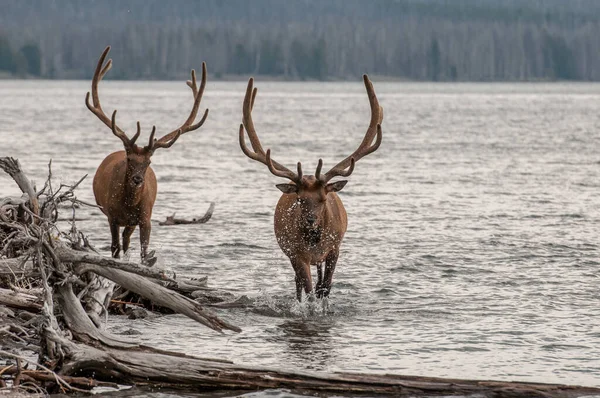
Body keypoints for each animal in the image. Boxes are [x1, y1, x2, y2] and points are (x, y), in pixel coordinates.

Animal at [85, 46, 210, 262]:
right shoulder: (112, 216)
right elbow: (114, 248)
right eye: (129, 159)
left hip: (133, 222)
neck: (128, 204)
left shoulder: (146, 218)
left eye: (149, 162)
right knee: (121, 243)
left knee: (127, 241)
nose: (137, 179)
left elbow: (144, 252)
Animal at [239, 74, 384, 300]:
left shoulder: (334, 248)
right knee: (298, 283)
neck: (315, 243)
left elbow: (325, 287)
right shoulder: (297, 255)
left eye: (323, 199)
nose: (310, 220)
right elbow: (308, 289)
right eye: (300, 199)